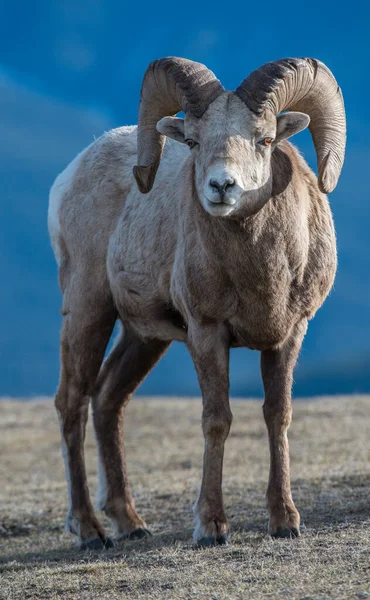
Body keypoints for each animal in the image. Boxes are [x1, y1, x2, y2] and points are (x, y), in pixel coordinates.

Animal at [47, 56, 346, 548]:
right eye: (192, 141)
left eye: (265, 139)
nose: (221, 187)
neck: (261, 274)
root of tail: (69, 175)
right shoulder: (207, 332)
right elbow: (217, 419)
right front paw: (211, 526)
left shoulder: (289, 333)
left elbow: (277, 415)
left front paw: (285, 521)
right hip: (89, 309)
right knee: (71, 402)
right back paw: (90, 530)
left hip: (144, 336)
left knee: (108, 398)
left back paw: (131, 523)